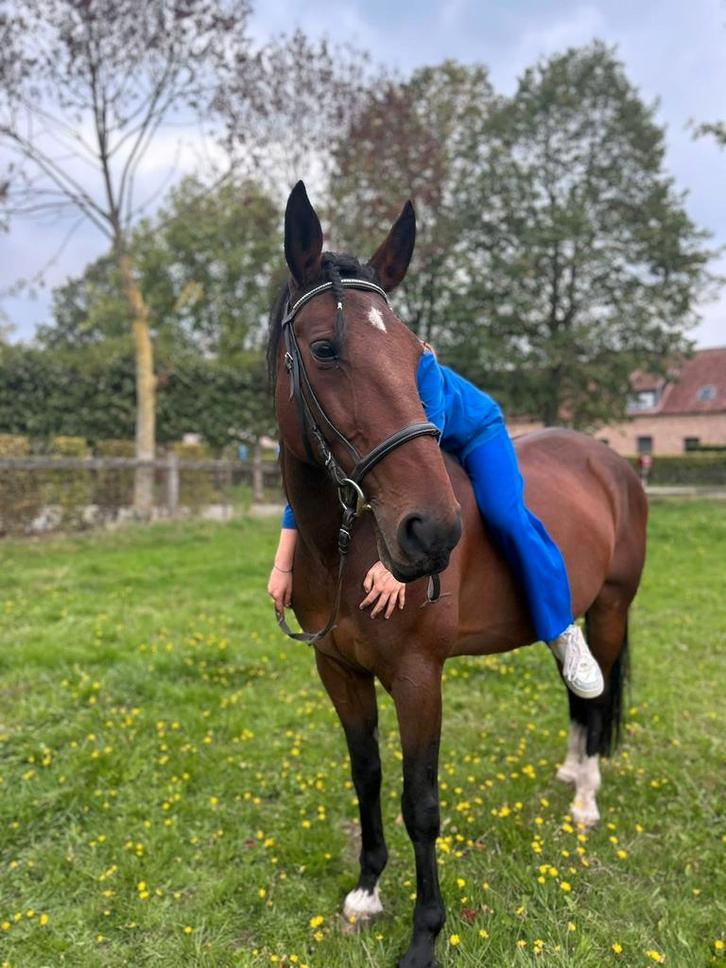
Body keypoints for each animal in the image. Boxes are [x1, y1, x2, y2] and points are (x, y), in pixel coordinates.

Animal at [269, 181, 648, 968]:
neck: (345, 546)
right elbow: (367, 776)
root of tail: (613, 462)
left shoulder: (419, 677)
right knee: (575, 692)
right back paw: (572, 770)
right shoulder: (338, 672)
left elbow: (421, 803)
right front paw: (366, 892)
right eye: (324, 349)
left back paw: (586, 797)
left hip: (612, 607)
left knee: (595, 698)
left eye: (420, 356)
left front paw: (424, 935)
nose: (431, 533)